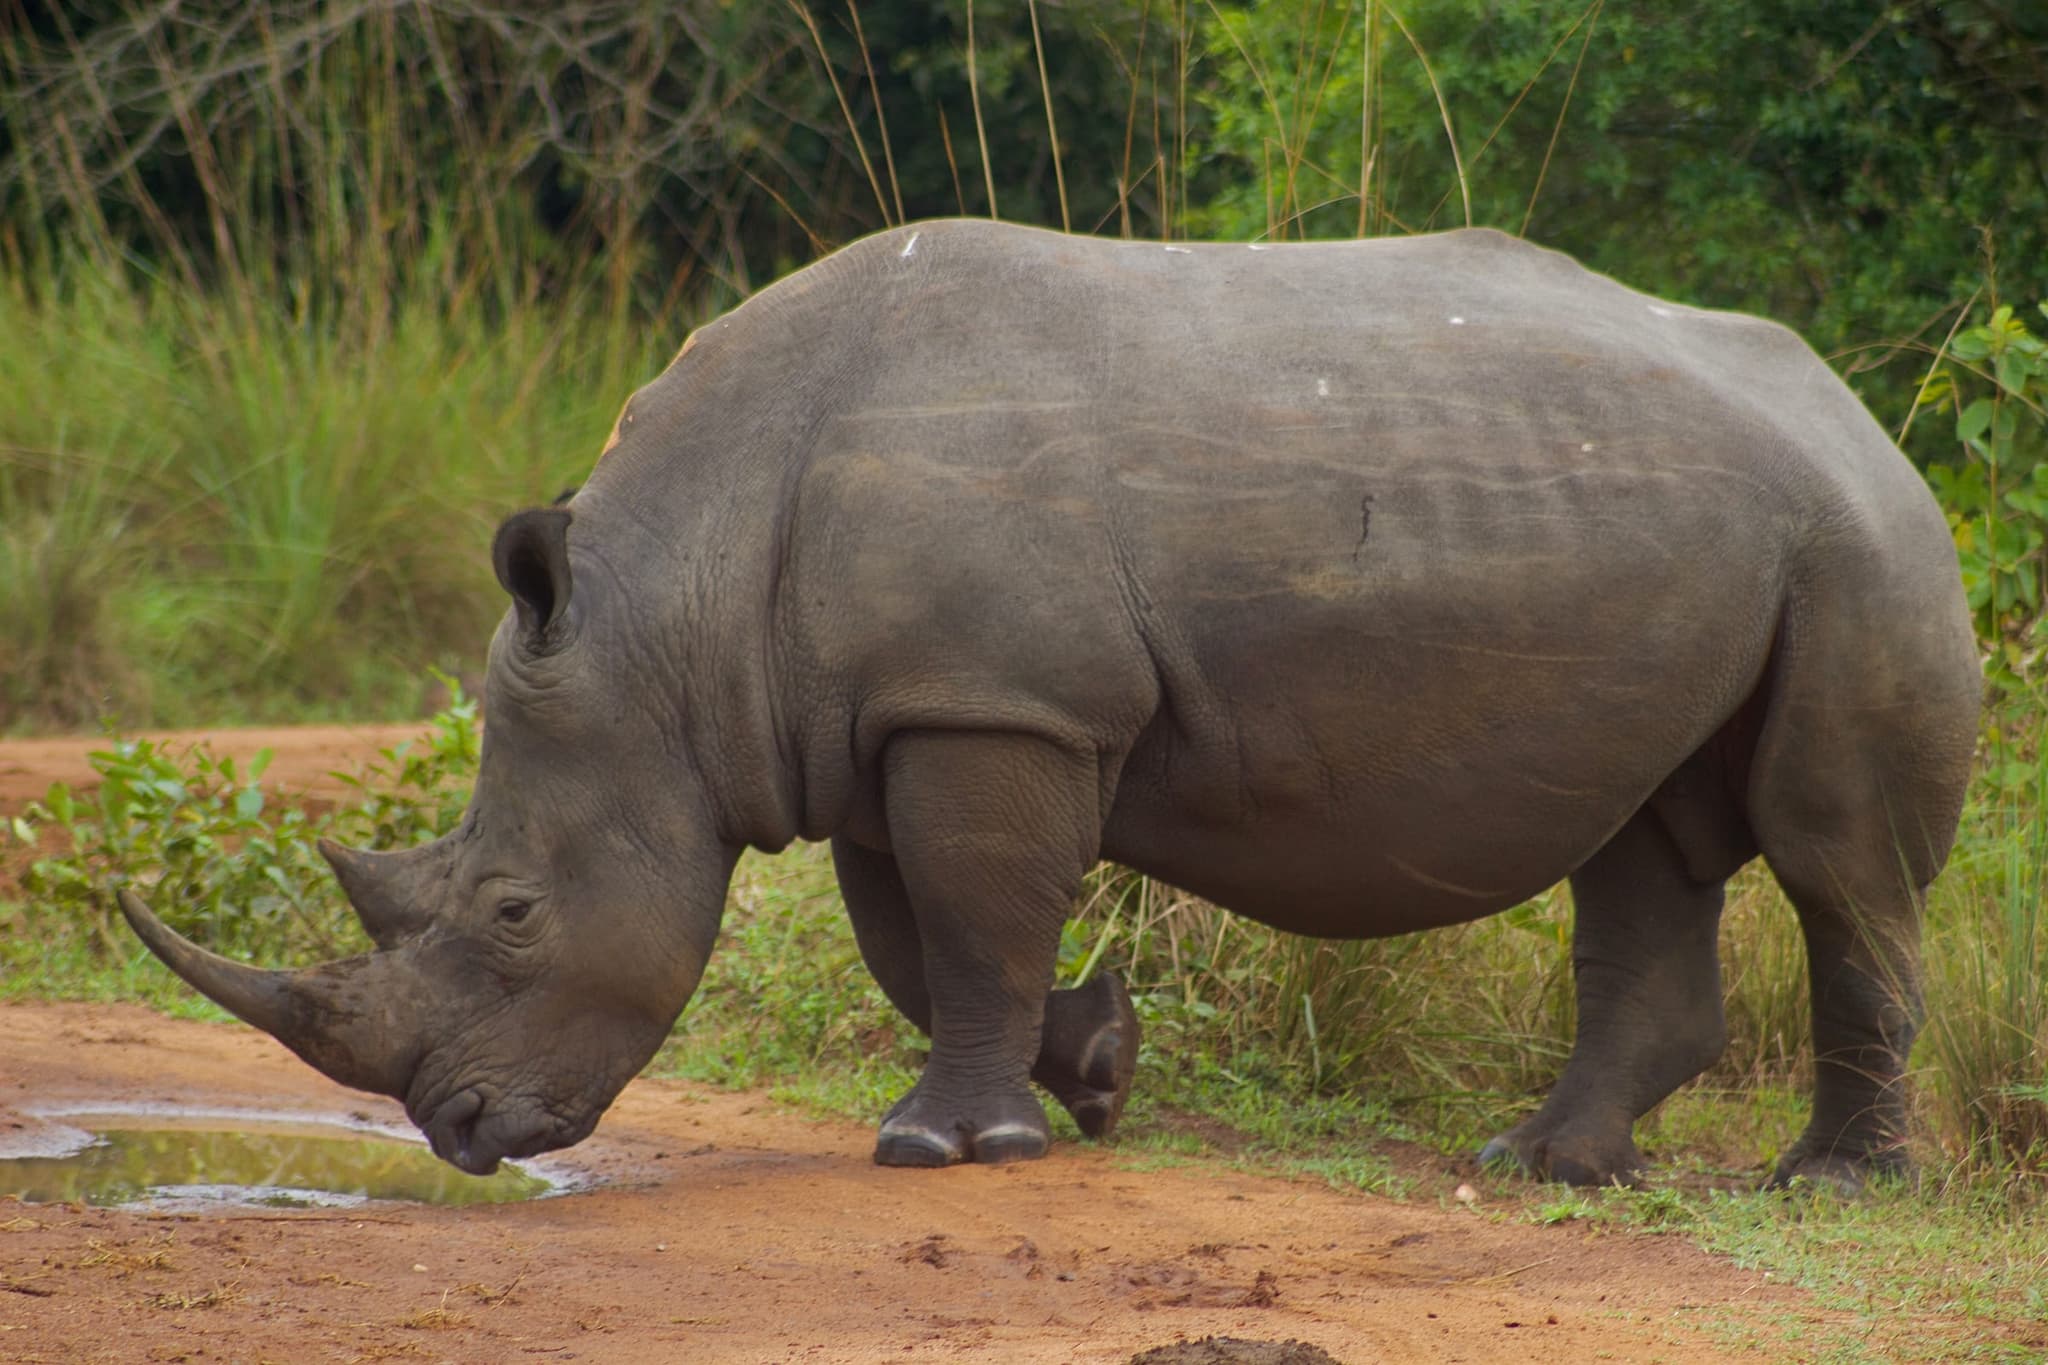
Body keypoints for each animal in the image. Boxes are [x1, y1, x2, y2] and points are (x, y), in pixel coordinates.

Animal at [120, 220, 1979, 1190]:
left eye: (511, 908)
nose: (456, 1135)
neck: (671, 608)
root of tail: (1853, 402)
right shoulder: (890, 714)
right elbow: (922, 931)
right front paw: (1090, 1075)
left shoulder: (992, 705)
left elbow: (969, 914)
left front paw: (947, 1149)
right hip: (1715, 529)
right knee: (1645, 837)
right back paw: (1544, 1166)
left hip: (1859, 547)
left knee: (1827, 855)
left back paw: (1830, 1183)